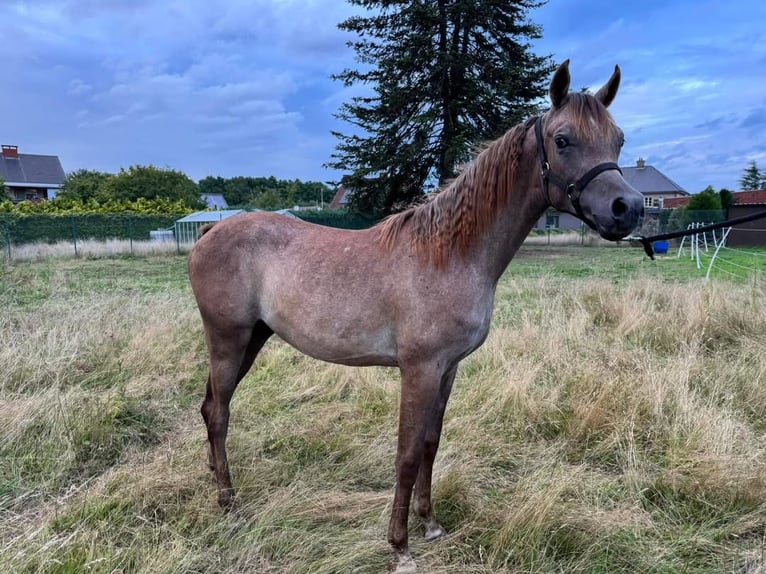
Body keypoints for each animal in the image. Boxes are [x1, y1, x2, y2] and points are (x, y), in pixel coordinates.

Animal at [187, 60, 644, 573]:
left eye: (618, 139)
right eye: (563, 140)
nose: (629, 209)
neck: (450, 253)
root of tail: (209, 232)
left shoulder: (448, 369)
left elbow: (430, 443)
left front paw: (430, 524)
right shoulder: (419, 369)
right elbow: (406, 454)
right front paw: (400, 545)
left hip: (252, 339)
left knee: (210, 407)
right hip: (228, 339)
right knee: (219, 413)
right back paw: (229, 503)